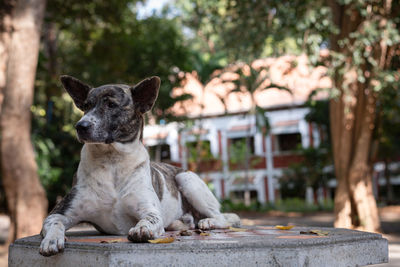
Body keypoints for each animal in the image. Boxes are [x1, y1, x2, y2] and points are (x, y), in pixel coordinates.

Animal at [39, 75, 241, 258]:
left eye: (111, 105)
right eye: (86, 106)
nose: (80, 126)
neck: (112, 161)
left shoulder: (150, 210)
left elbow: (150, 219)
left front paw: (142, 228)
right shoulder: (61, 212)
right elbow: (54, 222)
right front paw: (51, 239)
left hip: (187, 179)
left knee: (223, 218)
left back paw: (208, 222)